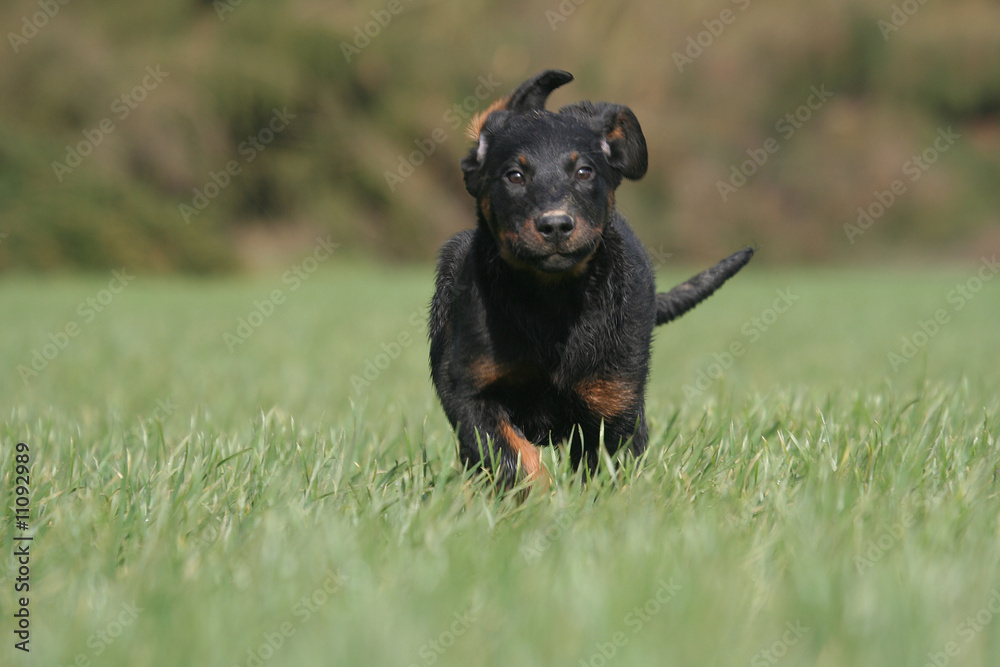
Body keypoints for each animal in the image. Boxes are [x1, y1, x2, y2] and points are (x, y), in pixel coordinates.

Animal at [428, 70, 752, 490]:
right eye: (514, 176)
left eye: (584, 172)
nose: (555, 224)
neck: (551, 298)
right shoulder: (470, 391)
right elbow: (512, 456)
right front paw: (538, 495)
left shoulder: (615, 404)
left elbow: (605, 472)